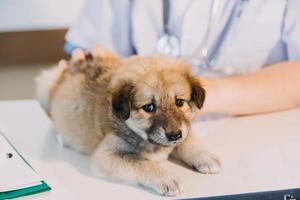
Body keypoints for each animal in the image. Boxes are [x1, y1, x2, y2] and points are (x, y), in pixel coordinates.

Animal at [36, 50, 221, 196]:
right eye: (149, 107)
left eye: (179, 102)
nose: (174, 135)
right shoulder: (106, 155)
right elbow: (141, 162)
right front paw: (166, 178)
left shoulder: (183, 131)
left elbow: (187, 140)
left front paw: (204, 156)